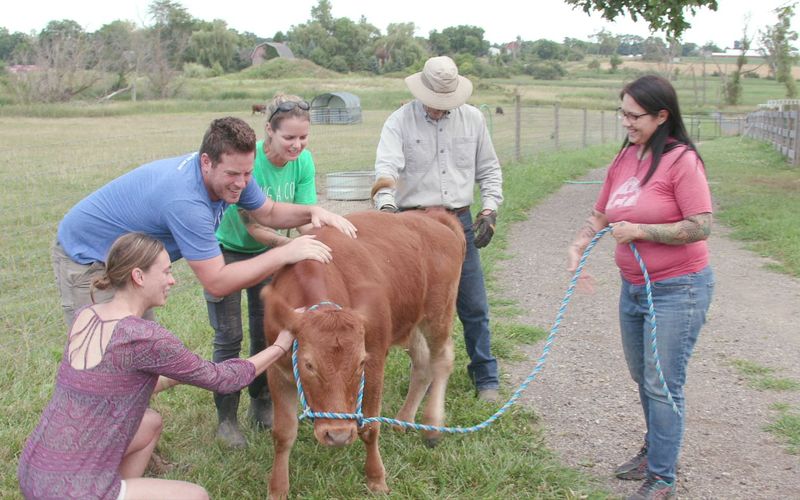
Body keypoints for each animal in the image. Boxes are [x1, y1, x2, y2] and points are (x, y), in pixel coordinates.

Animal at [264, 209, 462, 498]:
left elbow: (369, 427)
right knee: (423, 365)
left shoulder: (375, 361)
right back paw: (403, 419)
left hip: (439, 313)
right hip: (410, 320)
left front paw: (376, 478)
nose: (337, 436)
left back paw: (432, 423)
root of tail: (431, 215)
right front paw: (277, 489)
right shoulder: (277, 369)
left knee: (442, 360)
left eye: (360, 363)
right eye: (308, 365)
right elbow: (283, 434)